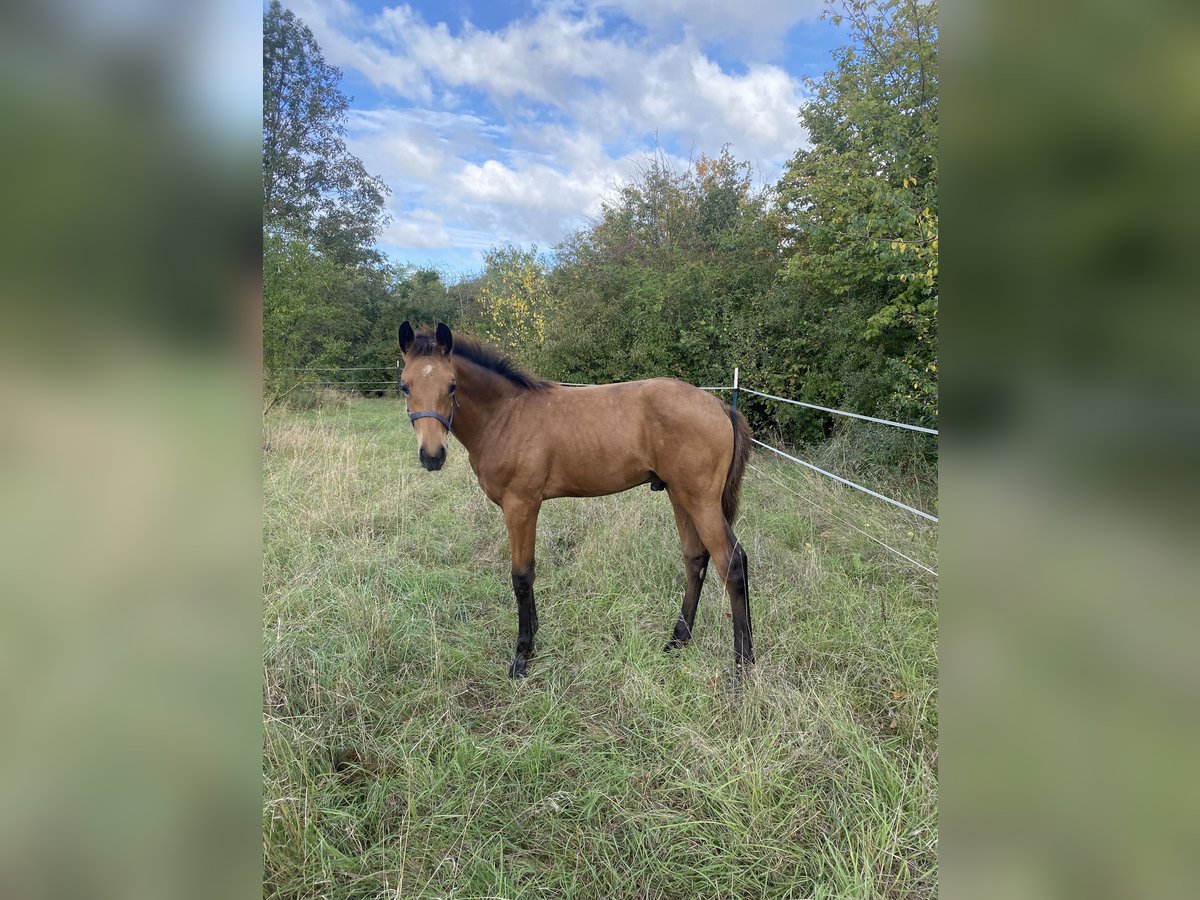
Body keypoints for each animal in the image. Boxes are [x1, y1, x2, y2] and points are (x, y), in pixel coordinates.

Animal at [396, 321, 748, 681]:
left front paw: (522, 655)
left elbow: (521, 576)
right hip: (680, 495)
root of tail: (721, 407)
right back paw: (677, 641)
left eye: (452, 385)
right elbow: (528, 573)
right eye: (405, 386)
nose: (432, 456)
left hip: (701, 500)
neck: (505, 415)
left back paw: (742, 665)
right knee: (695, 559)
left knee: (732, 563)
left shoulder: (520, 505)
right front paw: (533, 635)